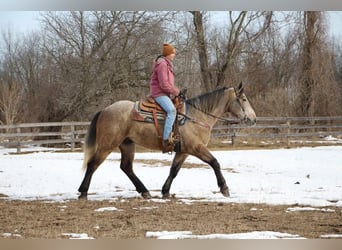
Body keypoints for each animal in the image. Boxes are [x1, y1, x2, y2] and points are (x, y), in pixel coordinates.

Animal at [77, 82, 254, 199]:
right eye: (244, 99)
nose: (253, 118)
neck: (197, 116)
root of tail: (105, 110)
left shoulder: (183, 151)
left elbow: (174, 170)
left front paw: (165, 191)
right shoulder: (196, 148)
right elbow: (215, 163)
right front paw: (224, 188)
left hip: (126, 144)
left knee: (126, 167)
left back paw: (145, 191)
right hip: (107, 145)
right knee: (93, 164)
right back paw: (83, 192)